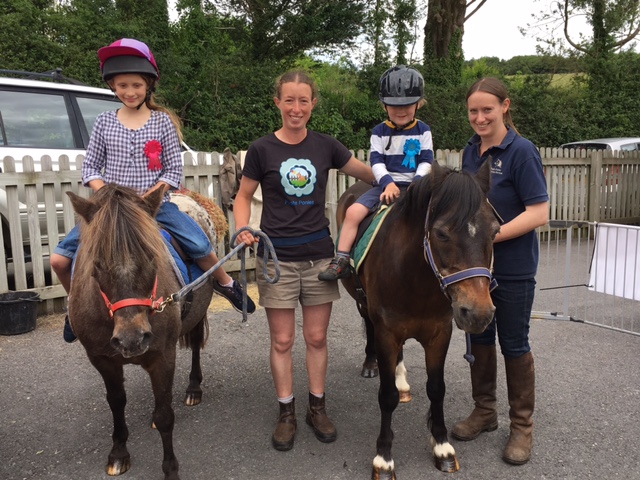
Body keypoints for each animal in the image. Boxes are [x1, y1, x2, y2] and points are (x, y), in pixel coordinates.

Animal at [66, 185, 215, 480]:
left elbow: (165, 415)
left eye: (152, 257)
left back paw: (193, 388)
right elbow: (116, 402)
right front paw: (118, 453)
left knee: (194, 344)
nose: (131, 339)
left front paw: (170, 469)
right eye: (97, 264)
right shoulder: (102, 360)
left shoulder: (163, 356)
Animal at [340, 160, 500, 476]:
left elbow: (437, 389)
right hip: (364, 305)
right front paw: (384, 458)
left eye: (495, 231)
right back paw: (370, 364)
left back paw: (402, 380)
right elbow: (386, 396)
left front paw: (442, 446)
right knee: (369, 328)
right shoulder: (387, 333)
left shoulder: (439, 334)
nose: (478, 313)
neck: (414, 275)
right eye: (441, 233)